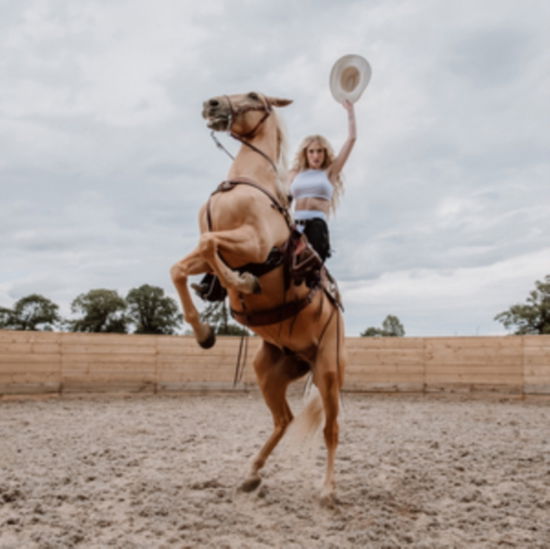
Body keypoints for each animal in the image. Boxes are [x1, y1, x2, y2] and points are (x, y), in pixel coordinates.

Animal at [170, 90, 348, 500]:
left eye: (253, 95)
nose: (212, 104)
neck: (245, 182)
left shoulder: (253, 242)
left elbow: (211, 245)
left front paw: (246, 283)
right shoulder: (210, 247)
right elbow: (183, 266)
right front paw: (204, 333)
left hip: (329, 371)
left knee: (330, 429)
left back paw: (327, 489)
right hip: (268, 370)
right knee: (284, 419)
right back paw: (252, 472)